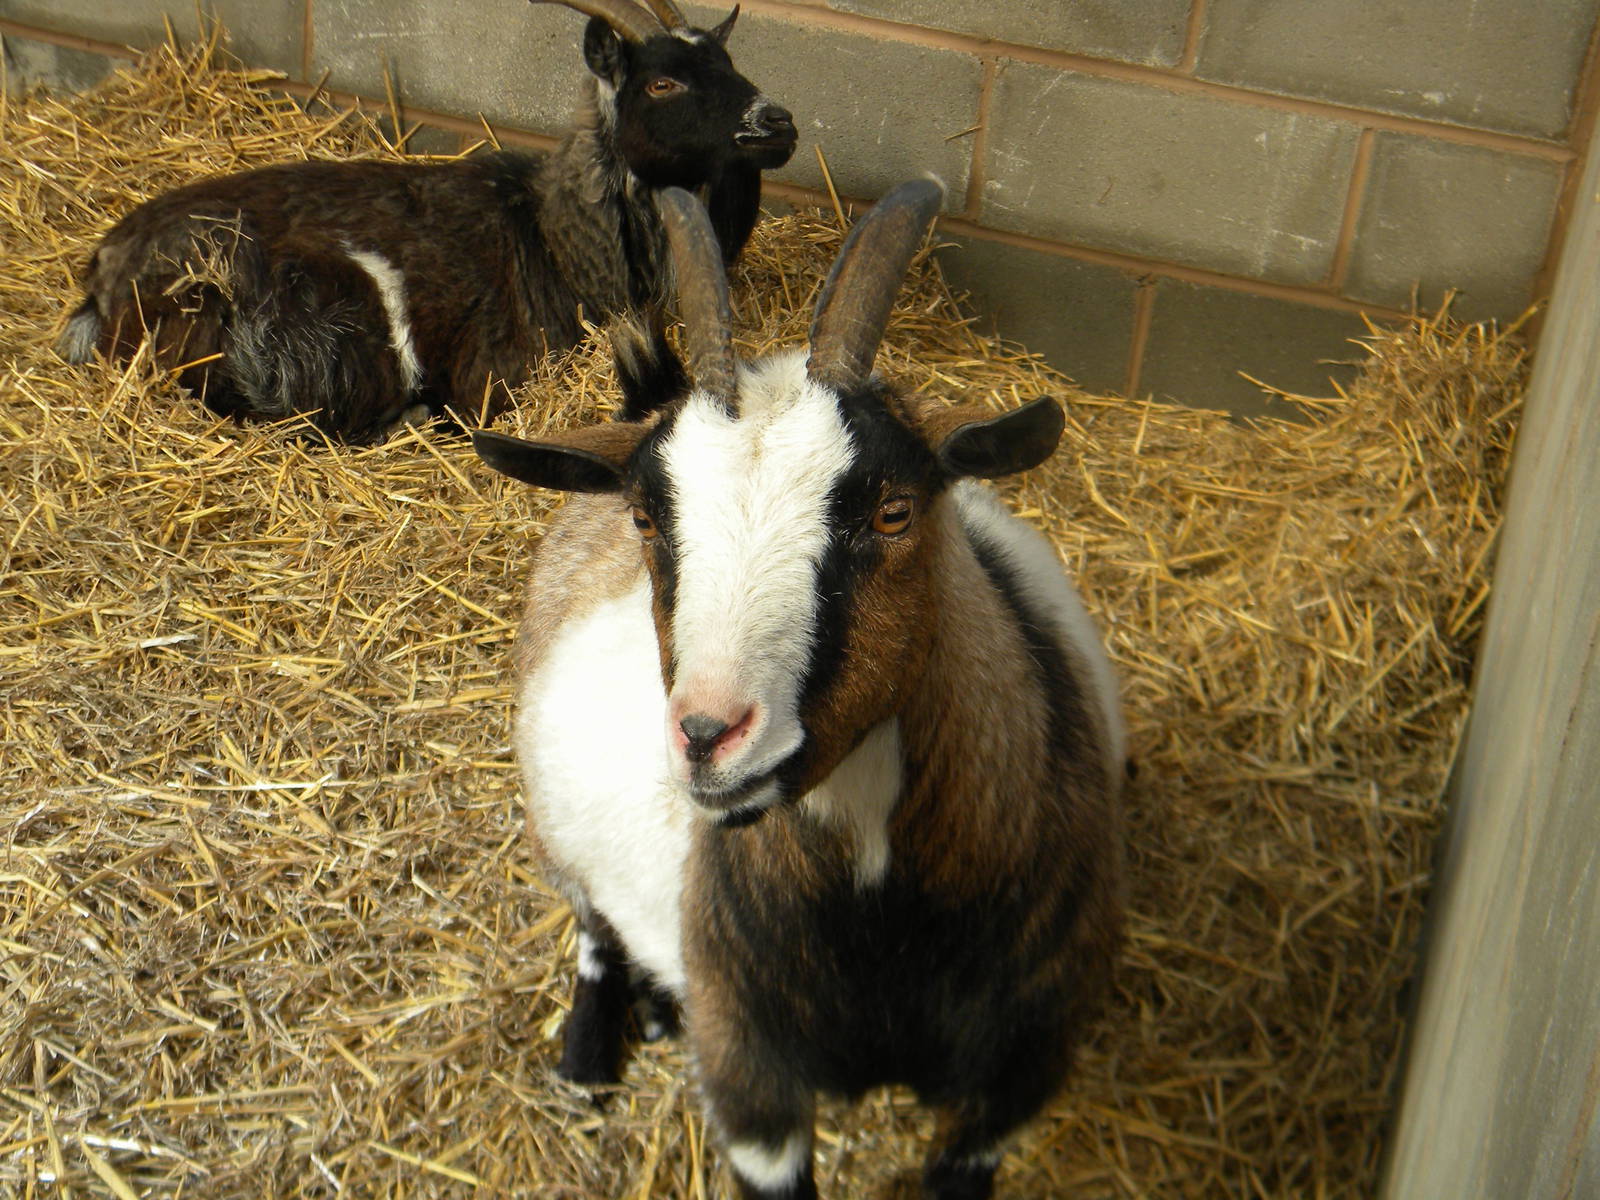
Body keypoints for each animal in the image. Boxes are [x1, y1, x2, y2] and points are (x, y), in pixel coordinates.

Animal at [55, 0, 796, 443]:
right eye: (662, 82)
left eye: (729, 62)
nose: (778, 125)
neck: (554, 239)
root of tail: (104, 281)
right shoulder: (495, 378)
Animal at [473, 181, 1126, 1199]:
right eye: (648, 517)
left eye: (894, 511)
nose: (710, 737)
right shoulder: (752, 1088)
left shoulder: (1013, 1081)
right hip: (553, 832)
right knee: (593, 930)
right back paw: (589, 1053)